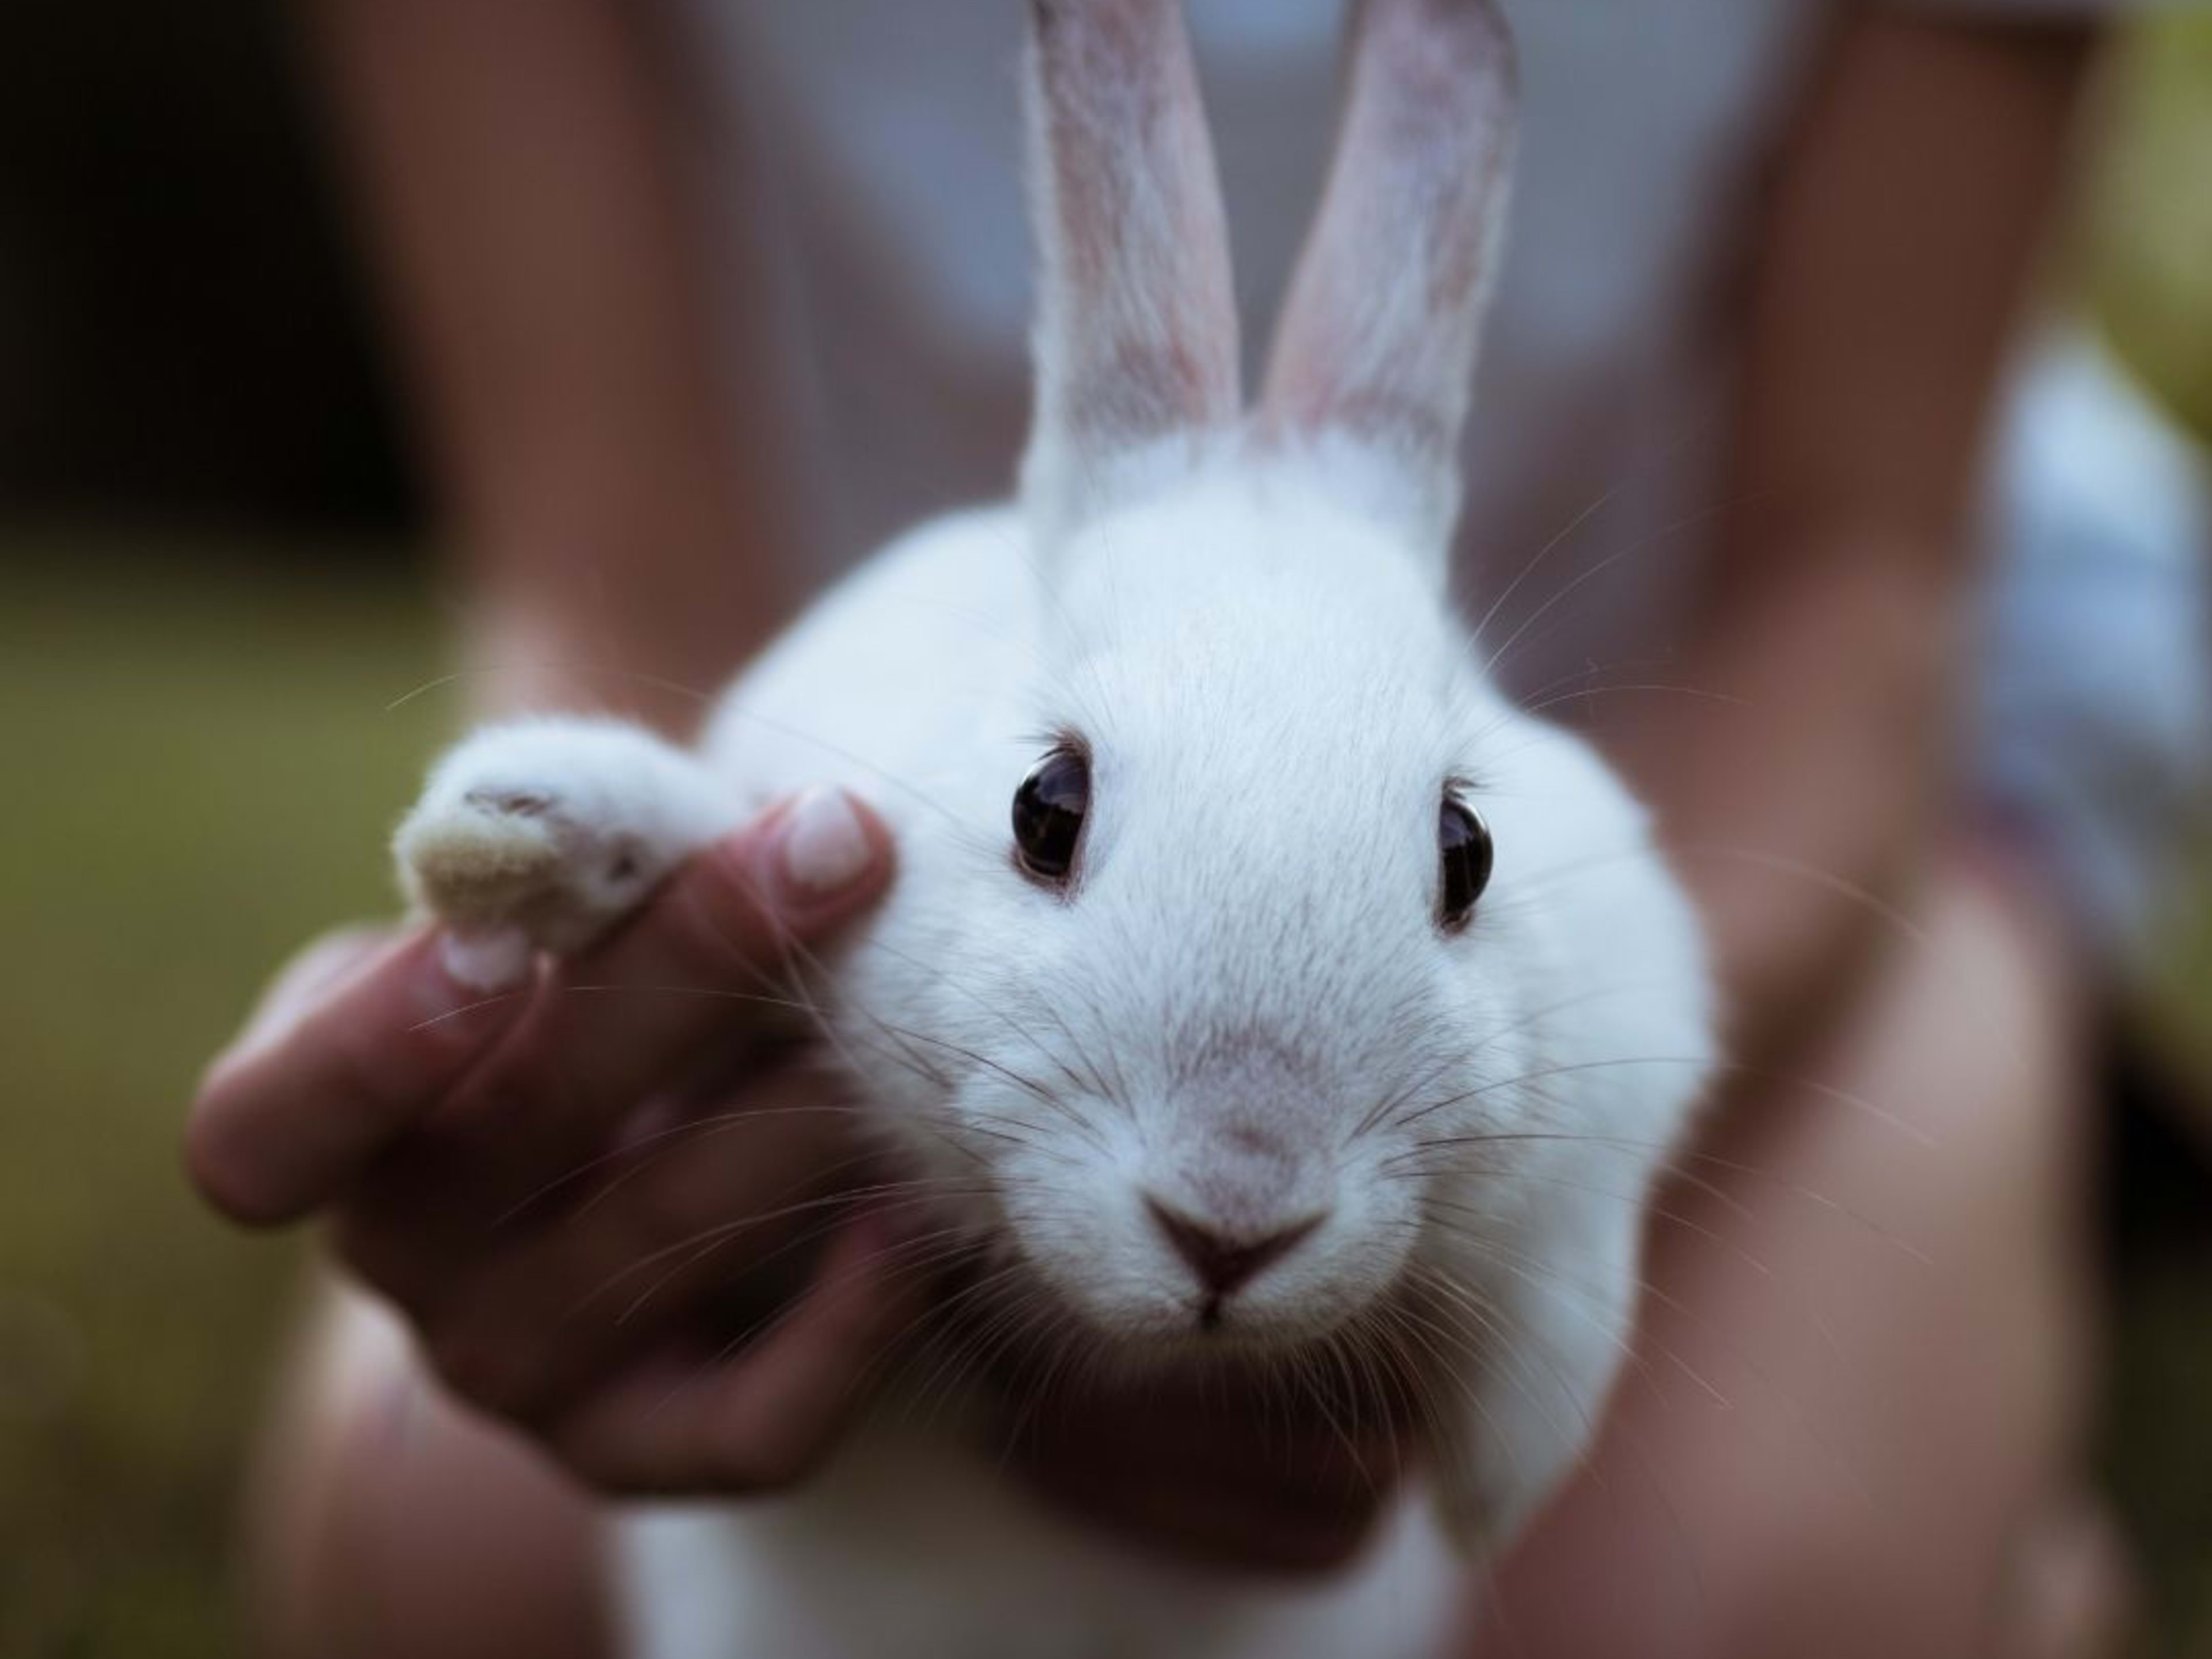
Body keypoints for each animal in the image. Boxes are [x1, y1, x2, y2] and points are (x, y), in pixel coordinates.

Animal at [391, 1, 1715, 1654]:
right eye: (1046, 809)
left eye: (1464, 851)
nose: (1233, 1217)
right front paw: (520, 835)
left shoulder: (1632, 1046)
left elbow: (1569, 1267)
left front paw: (1502, 1475)